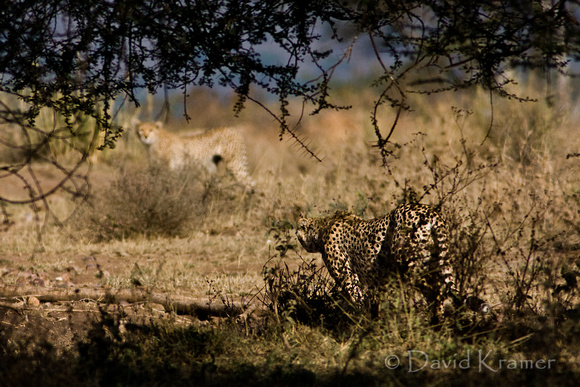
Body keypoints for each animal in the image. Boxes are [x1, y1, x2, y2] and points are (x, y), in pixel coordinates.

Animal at [296, 205, 460, 320]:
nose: (297, 237)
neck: (323, 227)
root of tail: (429, 210)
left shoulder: (349, 276)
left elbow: (358, 300)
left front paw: (361, 324)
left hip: (410, 265)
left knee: (436, 288)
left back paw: (436, 320)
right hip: (434, 260)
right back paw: (437, 321)